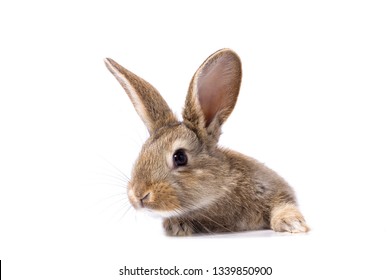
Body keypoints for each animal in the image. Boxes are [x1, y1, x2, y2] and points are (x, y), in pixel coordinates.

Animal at [103, 49, 308, 235]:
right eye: (142, 151)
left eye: (180, 157)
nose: (139, 195)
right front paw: (176, 226)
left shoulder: (274, 188)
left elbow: (283, 203)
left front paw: (292, 223)